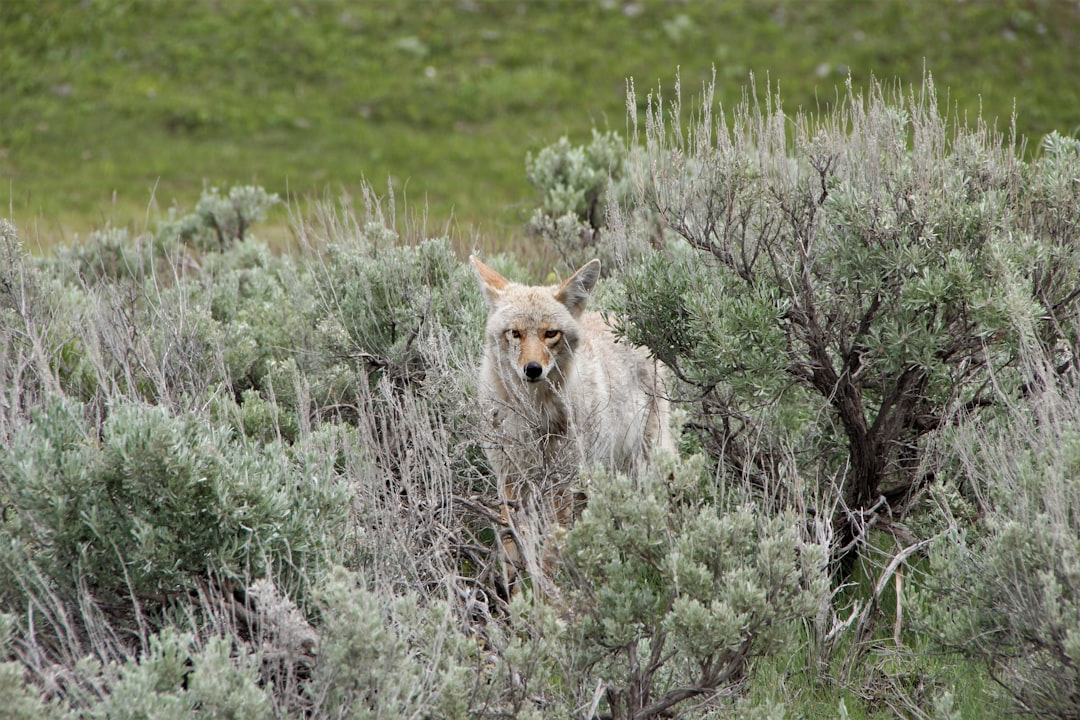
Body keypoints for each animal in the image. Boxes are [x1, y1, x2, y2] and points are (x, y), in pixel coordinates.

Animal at [470, 255, 673, 592]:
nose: (532, 369)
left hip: (642, 466)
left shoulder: (560, 486)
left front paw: (546, 598)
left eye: (550, 334)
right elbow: (513, 551)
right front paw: (515, 596)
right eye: (515, 333)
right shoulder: (510, 480)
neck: (534, 414)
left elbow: (550, 555)